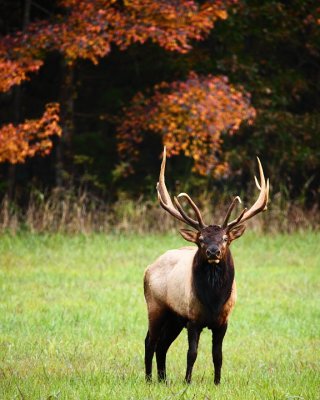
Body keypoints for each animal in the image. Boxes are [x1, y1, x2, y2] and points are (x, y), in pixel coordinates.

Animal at [144, 148, 268, 384]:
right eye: (201, 239)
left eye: (225, 239)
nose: (213, 252)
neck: (214, 300)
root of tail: (149, 268)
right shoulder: (193, 319)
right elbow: (191, 353)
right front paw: (187, 381)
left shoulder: (223, 321)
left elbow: (217, 355)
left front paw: (217, 382)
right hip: (156, 306)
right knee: (150, 341)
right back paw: (148, 379)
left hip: (175, 318)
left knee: (162, 345)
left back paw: (163, 379)